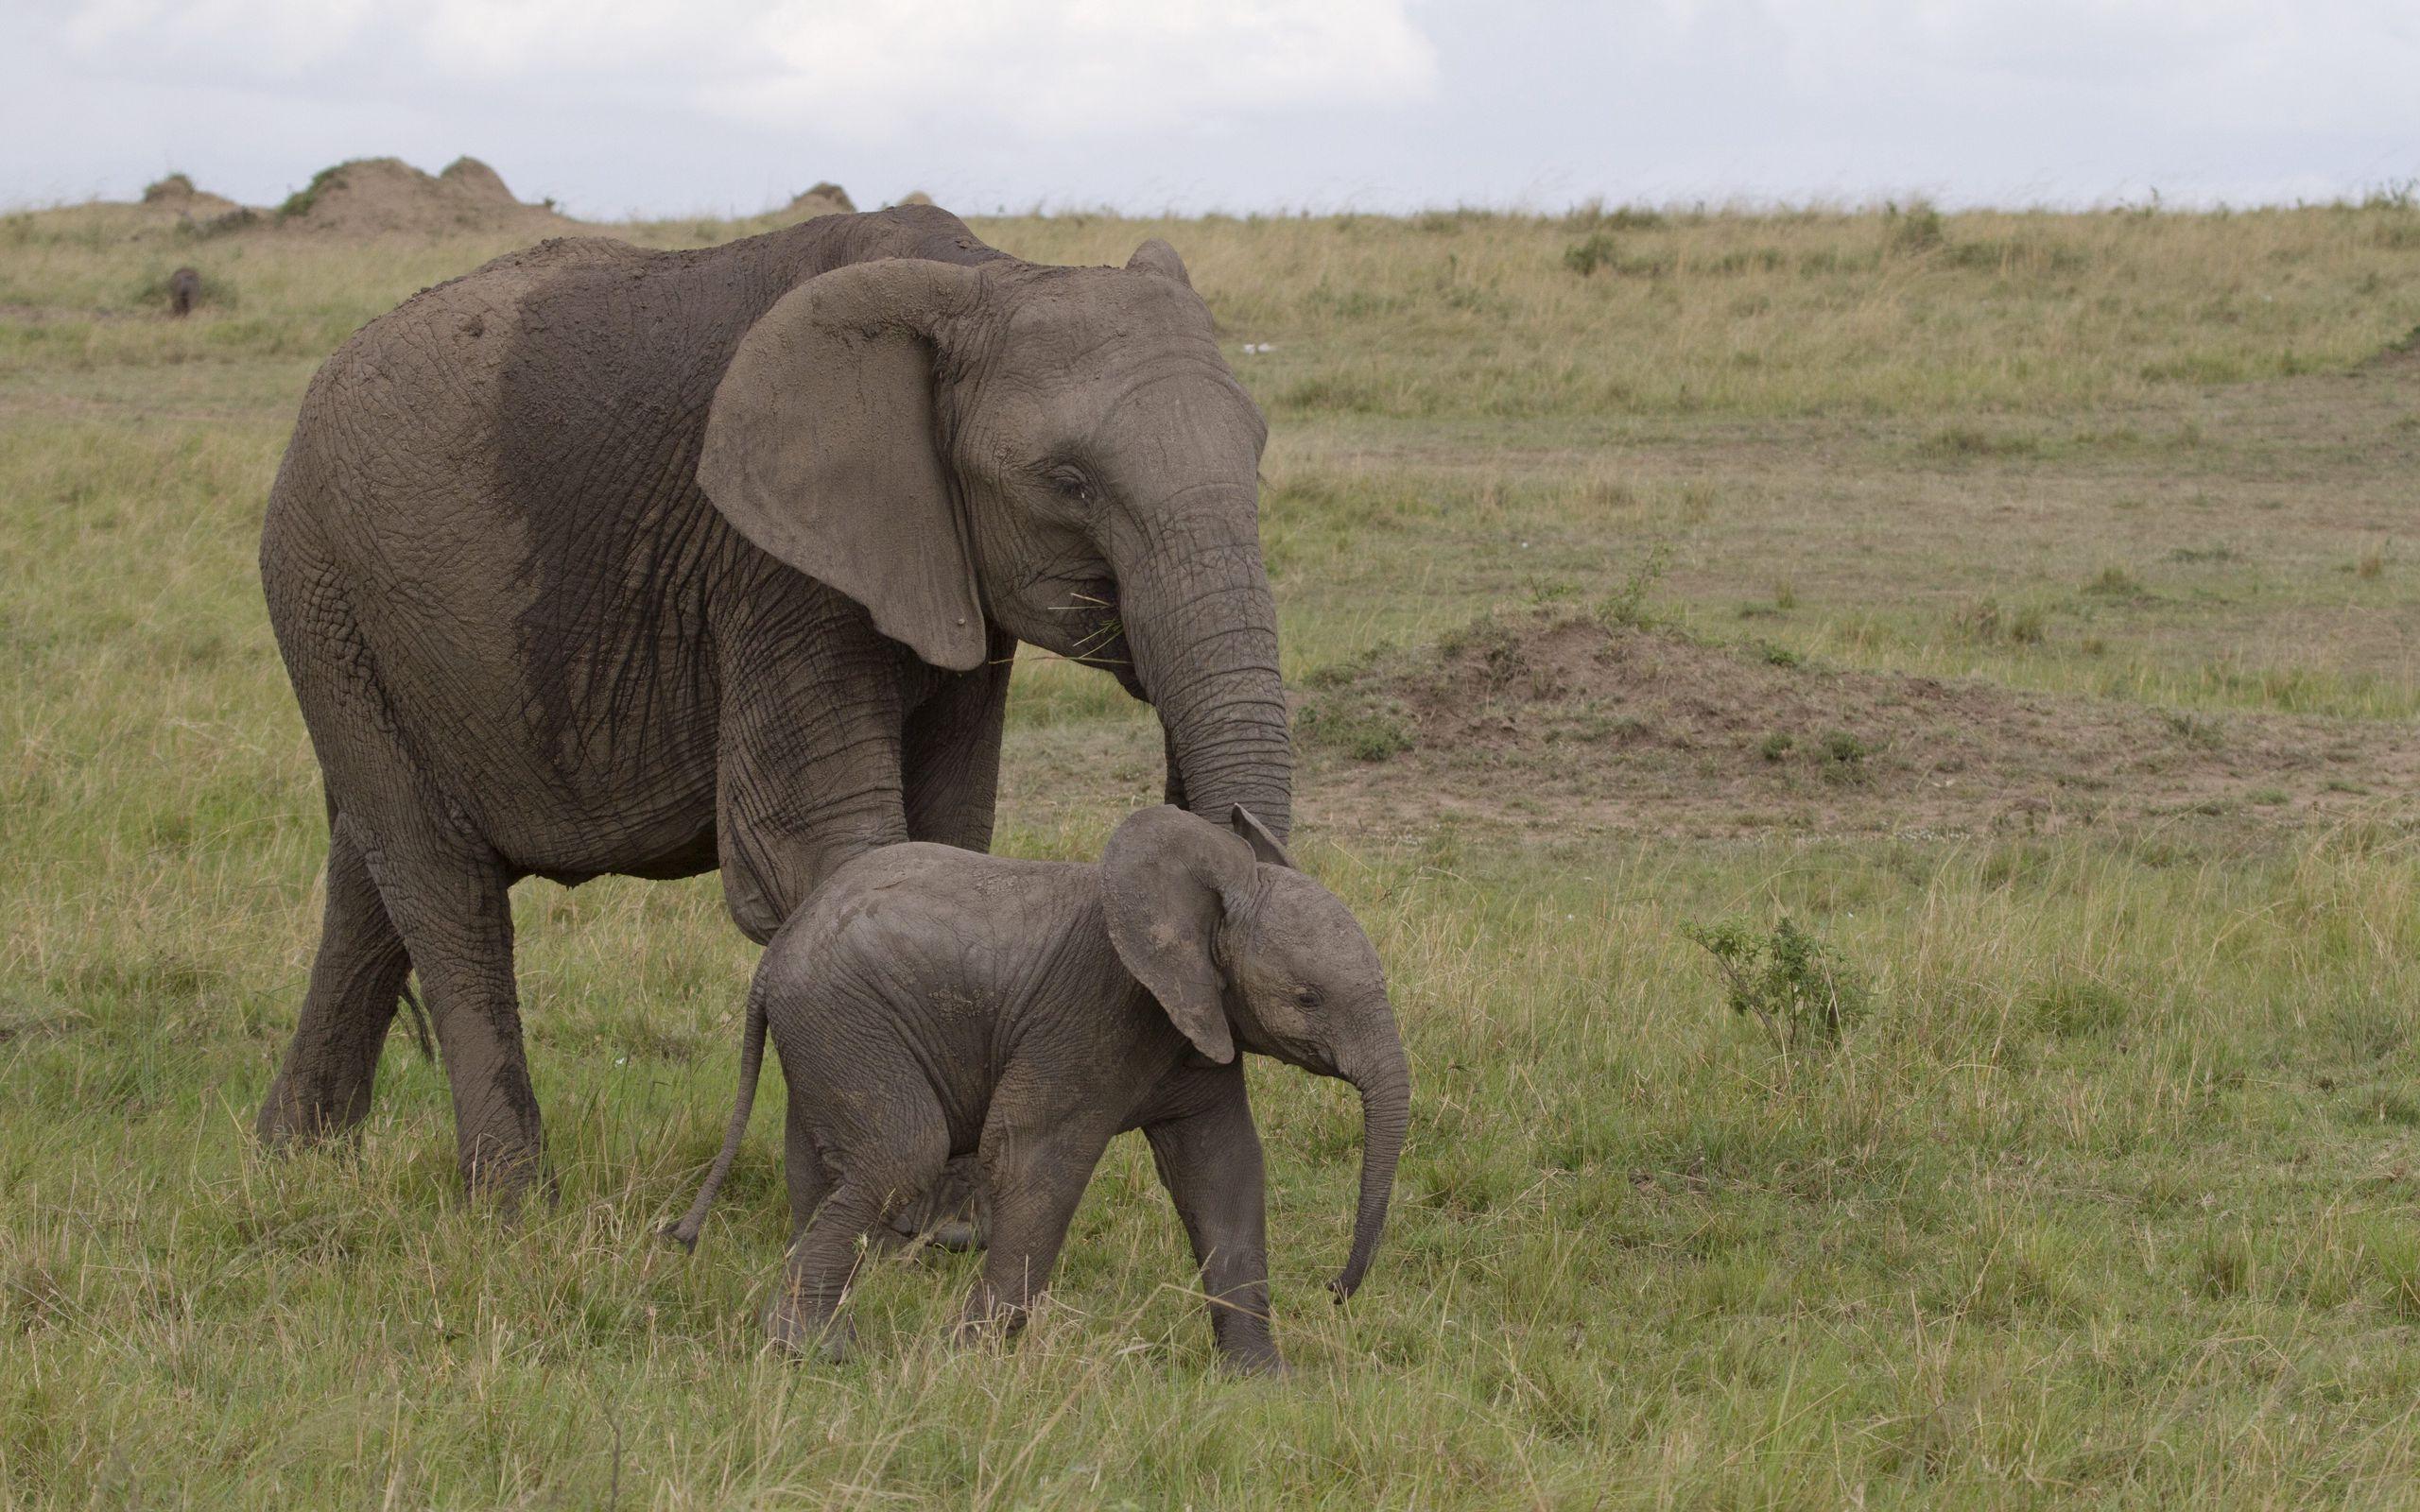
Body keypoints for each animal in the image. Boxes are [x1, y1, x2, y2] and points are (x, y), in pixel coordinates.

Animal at [254, 205, 1293, 1200]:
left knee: (369, 870)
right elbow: (818, 851)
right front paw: (916, 1215)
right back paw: (511, 1201)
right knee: (442, 886)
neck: (982, 274)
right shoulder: (771, 566)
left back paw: (296, 1156)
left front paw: (944, 1211)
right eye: (1067, 483)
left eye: (1257, 455)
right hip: (325, 591)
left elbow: (947, 844)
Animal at [665, 804, 1409, 1373]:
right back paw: (815, 1352)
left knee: (821, 1170)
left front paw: (1261, 1383)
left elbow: (1223, 1172)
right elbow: (1035, 1158)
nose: (1335, 1291)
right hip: (847, 1019)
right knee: (902, 1155)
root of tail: (771, 960)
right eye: (1308, 998)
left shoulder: (1199, 1028)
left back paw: (820, 1340)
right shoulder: (1094, 1012)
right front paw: (966, 1363)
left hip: (825, 1035)